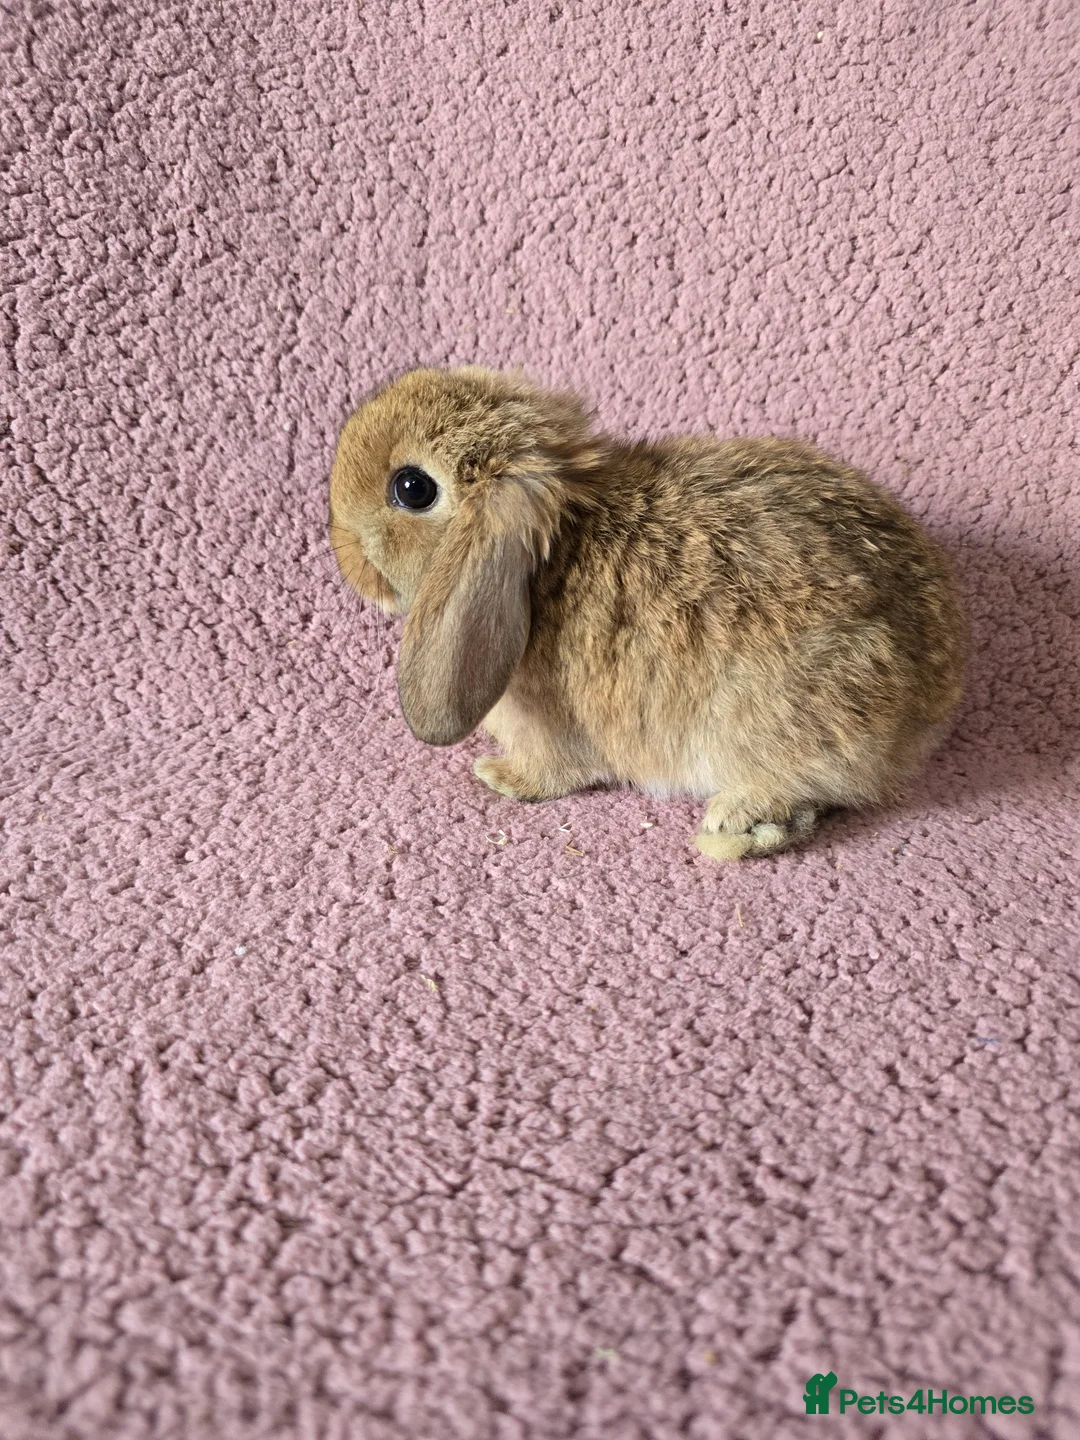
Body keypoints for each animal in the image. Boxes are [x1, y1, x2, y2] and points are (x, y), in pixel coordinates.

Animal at [329, 365, 966, 859]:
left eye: (411, 488)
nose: (340, 545)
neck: (553, 555)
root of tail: (928, 708)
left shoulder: (553, 737)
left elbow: (551, 775)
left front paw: (497, 777)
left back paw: (735, 824)